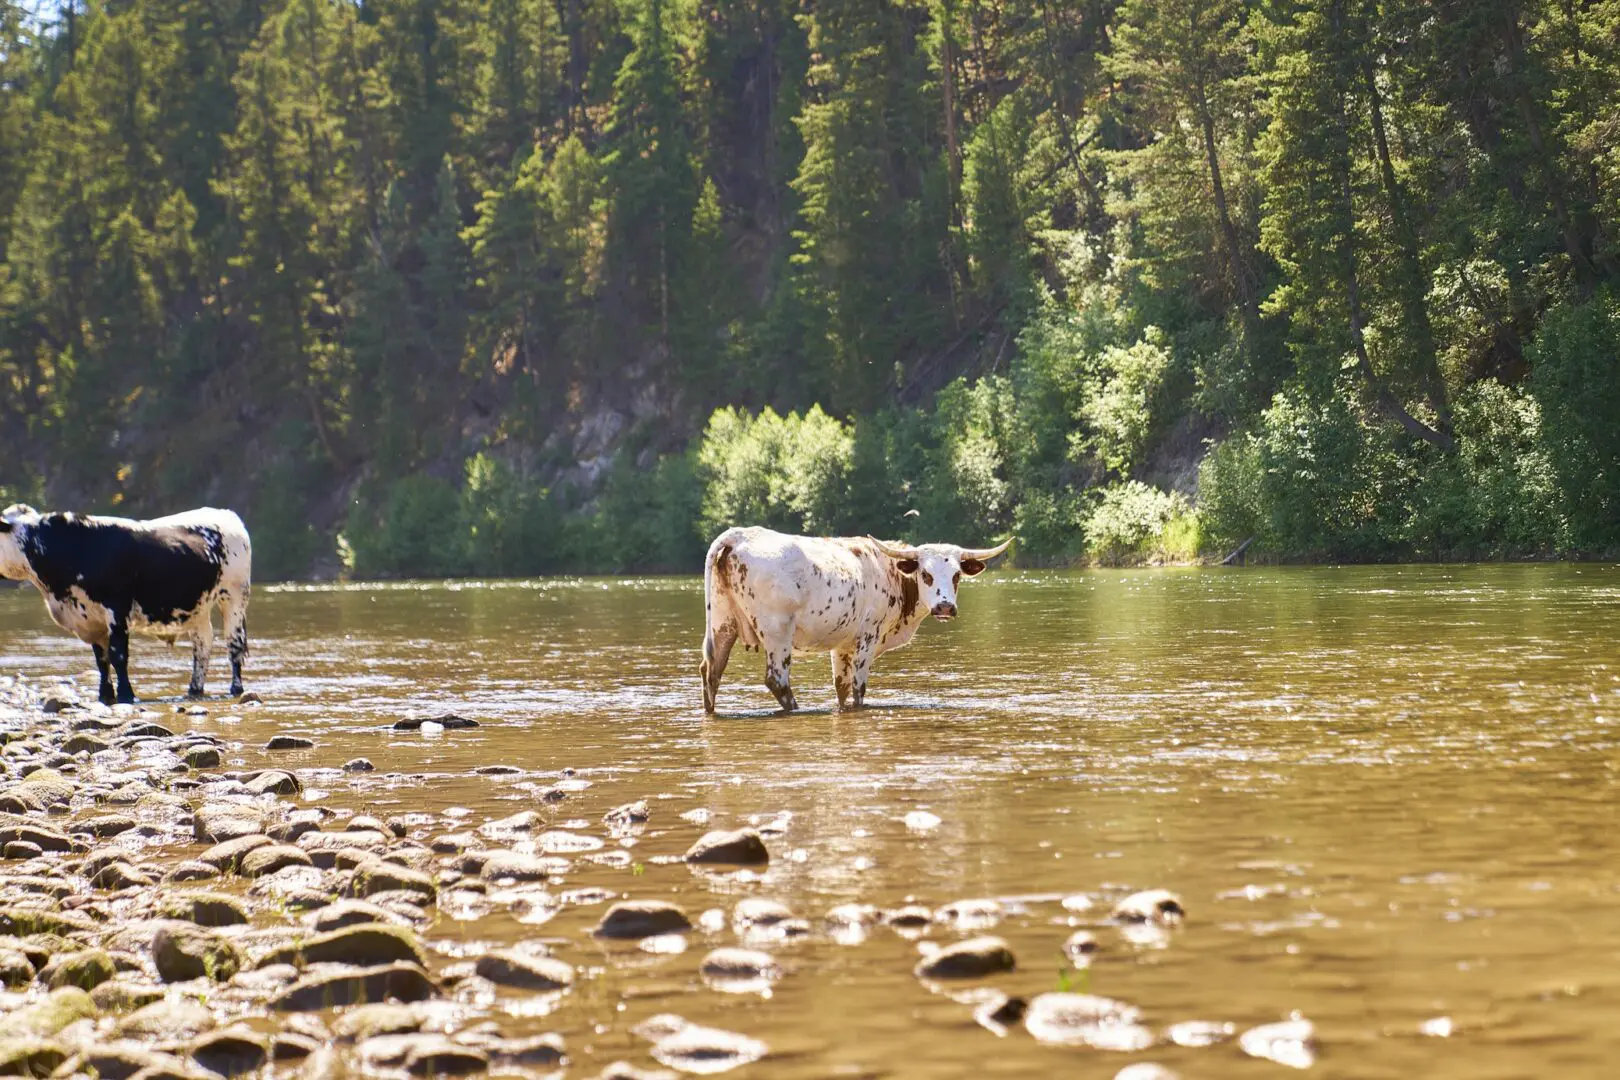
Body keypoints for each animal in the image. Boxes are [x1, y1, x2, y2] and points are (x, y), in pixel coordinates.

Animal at [0, 504, 252, 705]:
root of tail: (225, 513)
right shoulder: (92, 618)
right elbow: (101, 660)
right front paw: (105, 695)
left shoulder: (117, 610)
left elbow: (118, 655)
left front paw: (125, 694)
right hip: (198, 606)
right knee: (202, 644)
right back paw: (194, 689)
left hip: (234, 596)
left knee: (234, 643)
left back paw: (236, 688)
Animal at [699, 527, 1012, 714]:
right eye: (926, 574)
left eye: (957, 574)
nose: (945, 606)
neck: (891, 573)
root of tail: (740, 535)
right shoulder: (867, 638)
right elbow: (858, 687)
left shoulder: (841, 645)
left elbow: (841, 686)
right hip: (778, 634)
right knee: (776, 679)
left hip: (722, 625)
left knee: (711, 671)